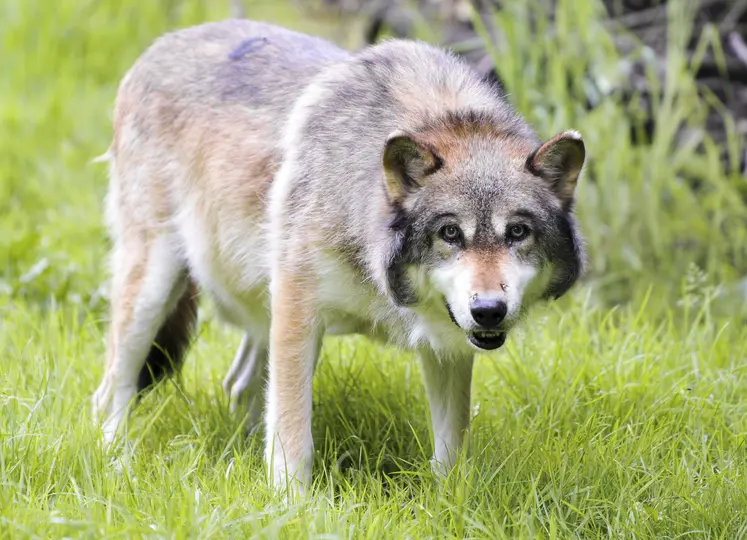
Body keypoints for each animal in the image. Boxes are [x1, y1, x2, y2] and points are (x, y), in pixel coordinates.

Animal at [90, 19, 588, 492]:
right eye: (450, 233)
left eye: (517, 232)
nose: (488, 310)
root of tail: (160, 45)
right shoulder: (298, 309)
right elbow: (293, 437)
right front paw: (290, 505)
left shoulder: (447, 343)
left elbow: (451, 450)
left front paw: (452, 503)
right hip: (155, 289)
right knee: (111, 390)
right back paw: (117, 464)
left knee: (238, 385)